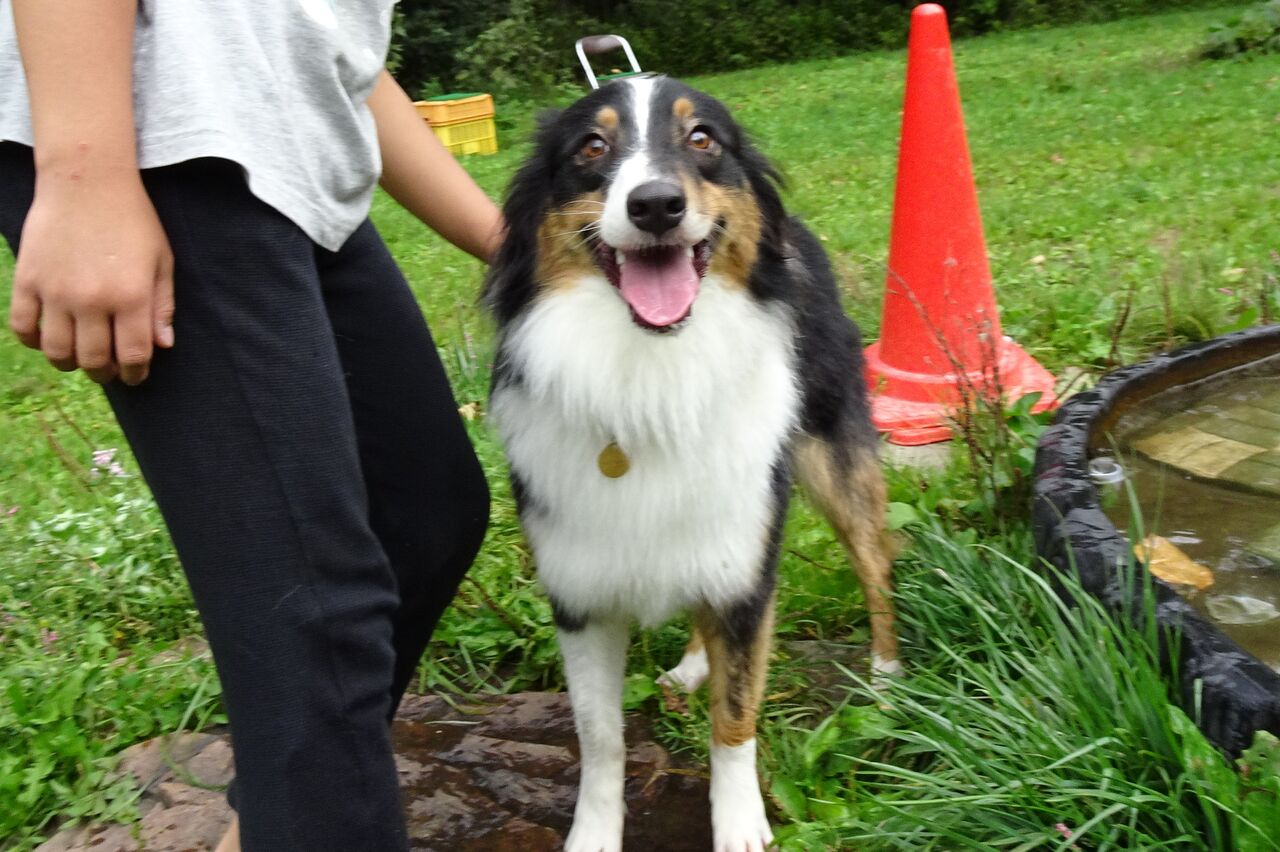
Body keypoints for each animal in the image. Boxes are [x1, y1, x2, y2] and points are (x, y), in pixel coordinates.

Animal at [484, 73, 899, 852]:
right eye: (592, 147)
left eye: (703, 139)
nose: (655, 204)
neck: (652, 369)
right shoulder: (579, 592)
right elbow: (599, 735)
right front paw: (594, 831)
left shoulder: (747, 564)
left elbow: (735, 717)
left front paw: (739, 825)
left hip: (834, 463)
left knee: (876, 563)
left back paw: (889, 682)